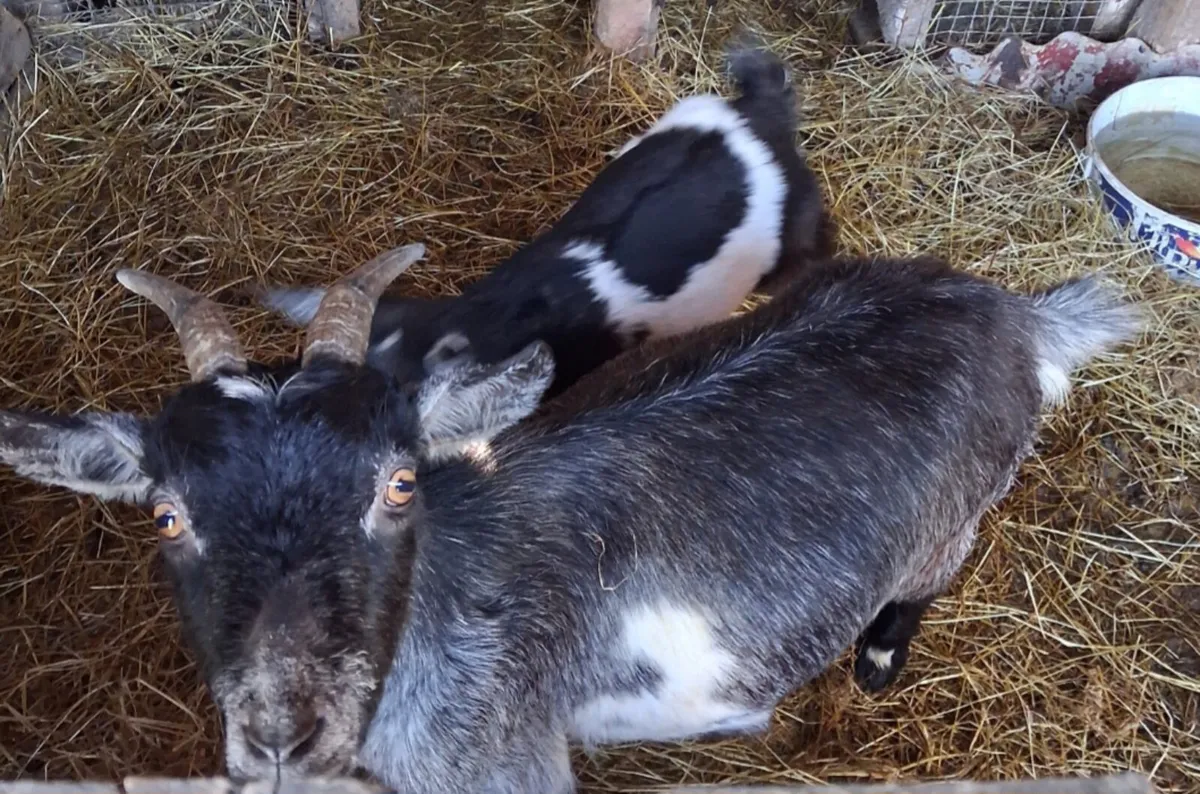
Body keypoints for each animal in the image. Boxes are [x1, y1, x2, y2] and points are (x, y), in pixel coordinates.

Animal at [0, 248, 1139, 792]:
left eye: (399, 483)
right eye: (166, 515)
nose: (287, 724)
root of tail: (1016, 314)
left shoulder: (502, 765)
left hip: (958, 508)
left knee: (933, 571)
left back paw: (878, 657)